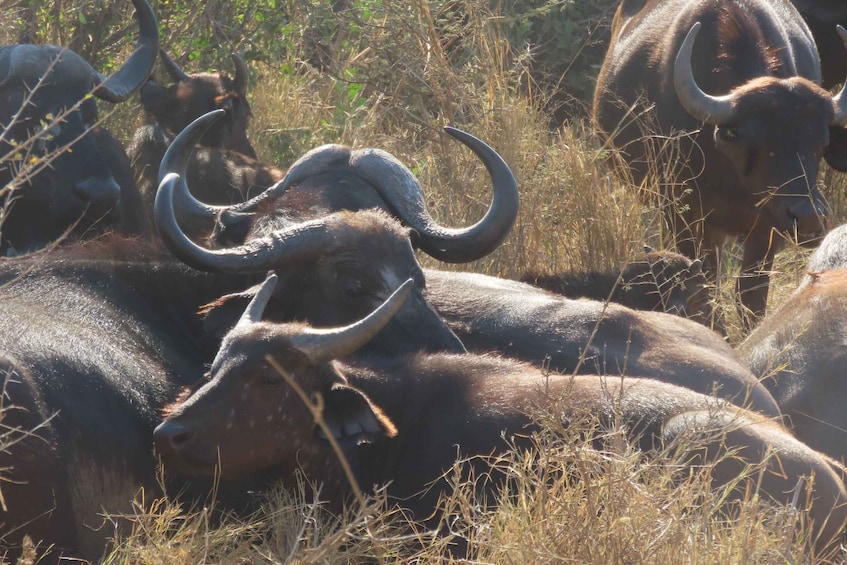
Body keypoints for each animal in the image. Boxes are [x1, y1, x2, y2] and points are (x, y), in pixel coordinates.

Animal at [593, 0, 847, 329]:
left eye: (821, 144)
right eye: (758, 142)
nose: (808, 219)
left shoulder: (767, 226)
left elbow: (750, 297)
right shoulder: (685, 216)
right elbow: (706, 289)